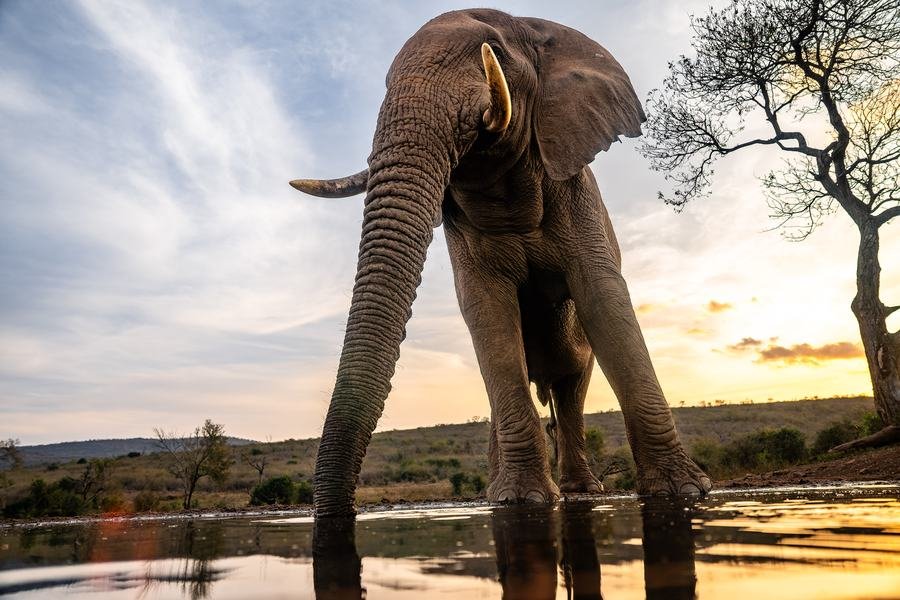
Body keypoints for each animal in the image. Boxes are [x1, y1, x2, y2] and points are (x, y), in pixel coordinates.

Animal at [291, 8, 711, 517]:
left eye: (494, 52)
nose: (336, 512)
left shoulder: (579, 192)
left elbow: (604, 299)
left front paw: (683, 492)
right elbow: (487, 313)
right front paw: (520, 500)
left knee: (571, 390)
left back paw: (583, 492)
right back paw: (504, 492)